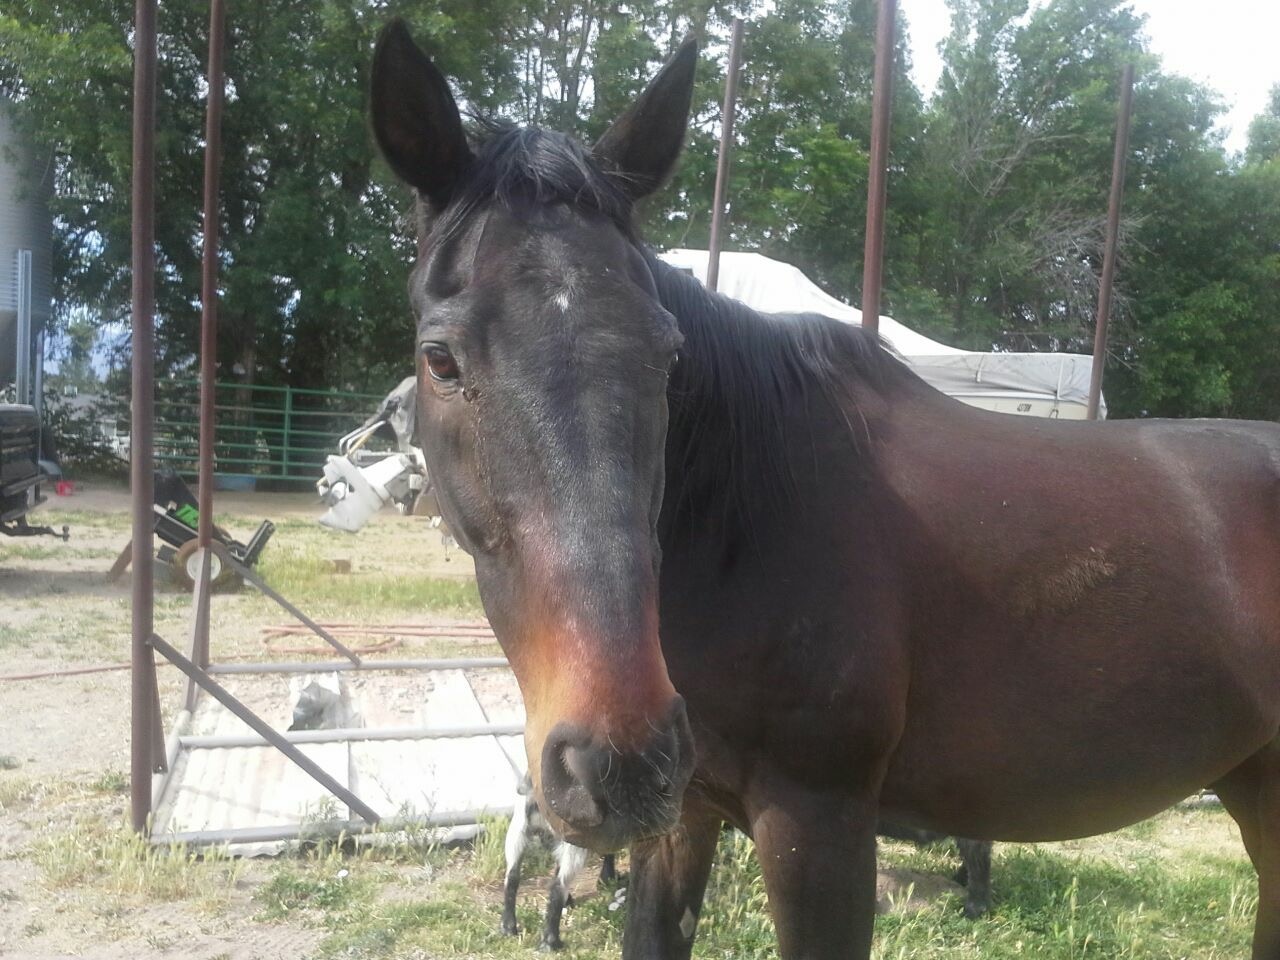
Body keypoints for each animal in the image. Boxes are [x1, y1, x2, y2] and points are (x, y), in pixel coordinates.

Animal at [369, 21, 1280, 959]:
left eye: (668, 355)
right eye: (441, 359)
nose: (617, 760)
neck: (748, 518)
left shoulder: (821, 826)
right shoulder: (683, 818)